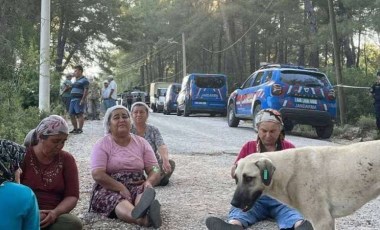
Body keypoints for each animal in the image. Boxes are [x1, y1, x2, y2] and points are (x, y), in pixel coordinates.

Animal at [230, 140, 380, 230]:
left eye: (249, 178)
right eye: (236, 178)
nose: (234, 203)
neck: (289, 171)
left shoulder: (322, 221)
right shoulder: (328, 220)